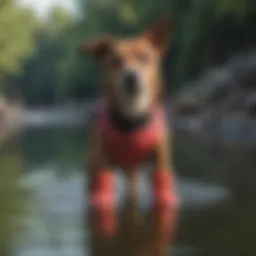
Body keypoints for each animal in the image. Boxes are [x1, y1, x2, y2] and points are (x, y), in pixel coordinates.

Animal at [81, 15, 179, 236]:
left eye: (144, 57)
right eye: (115, 61)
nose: (131, 77)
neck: (132, 120)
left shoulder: (161, 163)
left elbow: (163, 191)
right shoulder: (102, 166)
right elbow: (102, 193)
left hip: (133, 172)